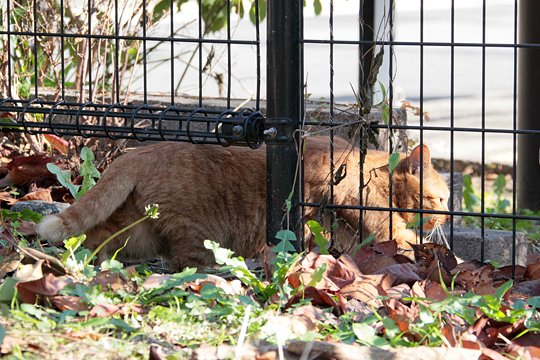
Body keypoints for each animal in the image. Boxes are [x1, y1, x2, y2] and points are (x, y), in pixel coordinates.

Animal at [38, 137, 450, 270]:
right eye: (443, 198)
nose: (446, 217)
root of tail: (140, 152)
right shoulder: (376, 219)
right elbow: (404, 238)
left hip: (135, 230)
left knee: (93, 238)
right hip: (197, 233)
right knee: (187, 260)